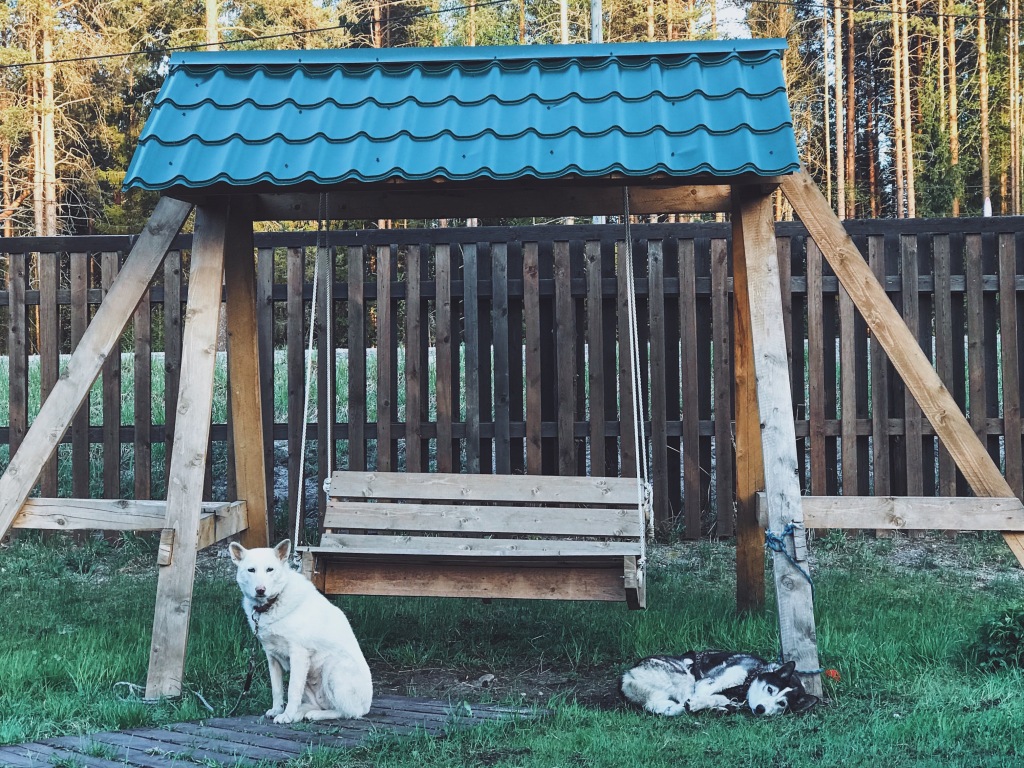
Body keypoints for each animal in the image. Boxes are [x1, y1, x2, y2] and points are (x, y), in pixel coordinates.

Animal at [230, 536, 374, 724]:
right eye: (251, 570)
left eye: (270, 569)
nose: (260, 590)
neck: (273, 603)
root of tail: (367, 706)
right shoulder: (272, 657)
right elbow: (277, 690)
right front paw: (278, 710)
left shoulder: (298, 655)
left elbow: (291, 691)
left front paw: (286, 716)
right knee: (317, 705)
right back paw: (301, 713)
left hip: (332, 668)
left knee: (348, 712)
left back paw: (314, 715)